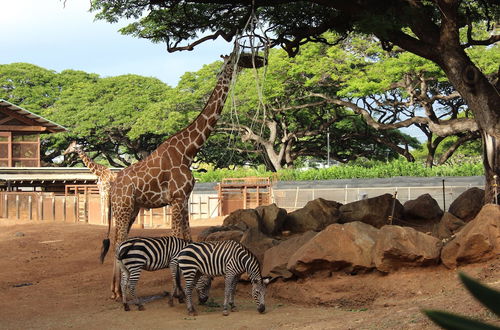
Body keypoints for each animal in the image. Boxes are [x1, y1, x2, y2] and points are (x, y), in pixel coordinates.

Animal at [100, 51, 249, 300]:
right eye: (233, 59)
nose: (246, 62)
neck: (188, 150)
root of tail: (113, 188)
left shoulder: (185, 198)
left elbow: (187, 238)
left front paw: (191, 286)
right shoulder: (177, 198)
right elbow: (179, 239)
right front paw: (180, 291)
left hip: (132, 209)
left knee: (121, 241)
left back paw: (117, 290)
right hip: (123, 208)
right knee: (118, 242)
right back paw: (118, 292)